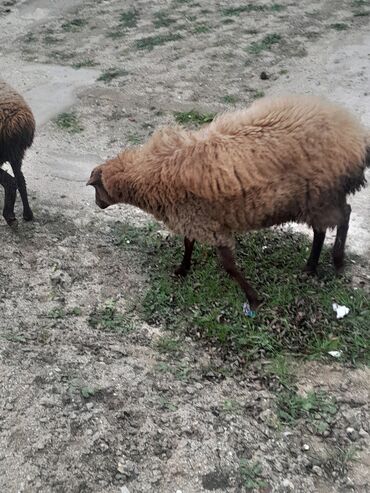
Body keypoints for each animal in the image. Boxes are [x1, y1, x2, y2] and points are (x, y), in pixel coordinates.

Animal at [87, 94, 370, 310]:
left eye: (96, 188)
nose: (98, 205)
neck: (151, 173)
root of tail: (355, 138)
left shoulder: (210, 226)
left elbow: (229, 267)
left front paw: (253, 299)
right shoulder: (194, 218)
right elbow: (188, 244)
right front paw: (183, 268)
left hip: (323, 196)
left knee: (344, 216)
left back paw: (337, 261)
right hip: (315, 200)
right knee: (323, 228)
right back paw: (311, 267)